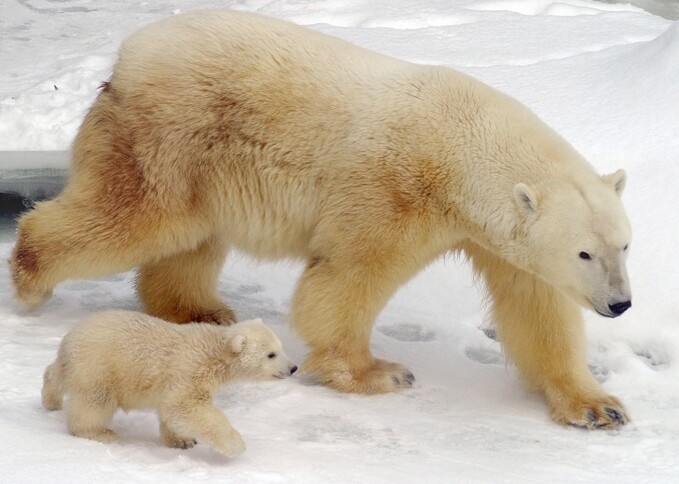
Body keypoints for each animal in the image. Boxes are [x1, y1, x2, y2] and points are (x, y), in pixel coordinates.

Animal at [13, 10, 636, 428]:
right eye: (585, 251)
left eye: (625, 245)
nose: (620, 304)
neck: (461, 146)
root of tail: (125, 57)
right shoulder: (392, 189)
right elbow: (346, 277)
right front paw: (380, 372)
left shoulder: (499, 237)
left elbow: (536, 309)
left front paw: (598, 406)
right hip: (168, 135)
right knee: (132, 217)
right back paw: (31, 278)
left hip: (197, 161)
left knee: (190, 238)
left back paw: (201, 311)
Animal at [41, 312, 298, 456]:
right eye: (271, 354)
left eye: (281, 347)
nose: (293, 368)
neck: (213, 351)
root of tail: (71, 337)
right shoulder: (189, 370)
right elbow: (185, 407)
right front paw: (235, 445)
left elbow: (172, 412)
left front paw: (182, 441)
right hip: (100, 365)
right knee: (95, 402)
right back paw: (99, 432)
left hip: (78, 364)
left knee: (56, 374)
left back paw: (50, 400)